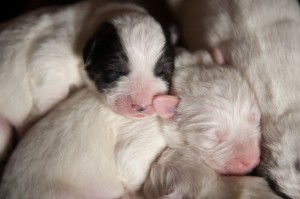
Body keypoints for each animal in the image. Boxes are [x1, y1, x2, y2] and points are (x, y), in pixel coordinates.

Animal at [0, 0, 175, 166]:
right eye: (115, 71)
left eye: (163, 72)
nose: (142, 106)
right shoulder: (48, 62)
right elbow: (50, 92)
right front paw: (26, 129)